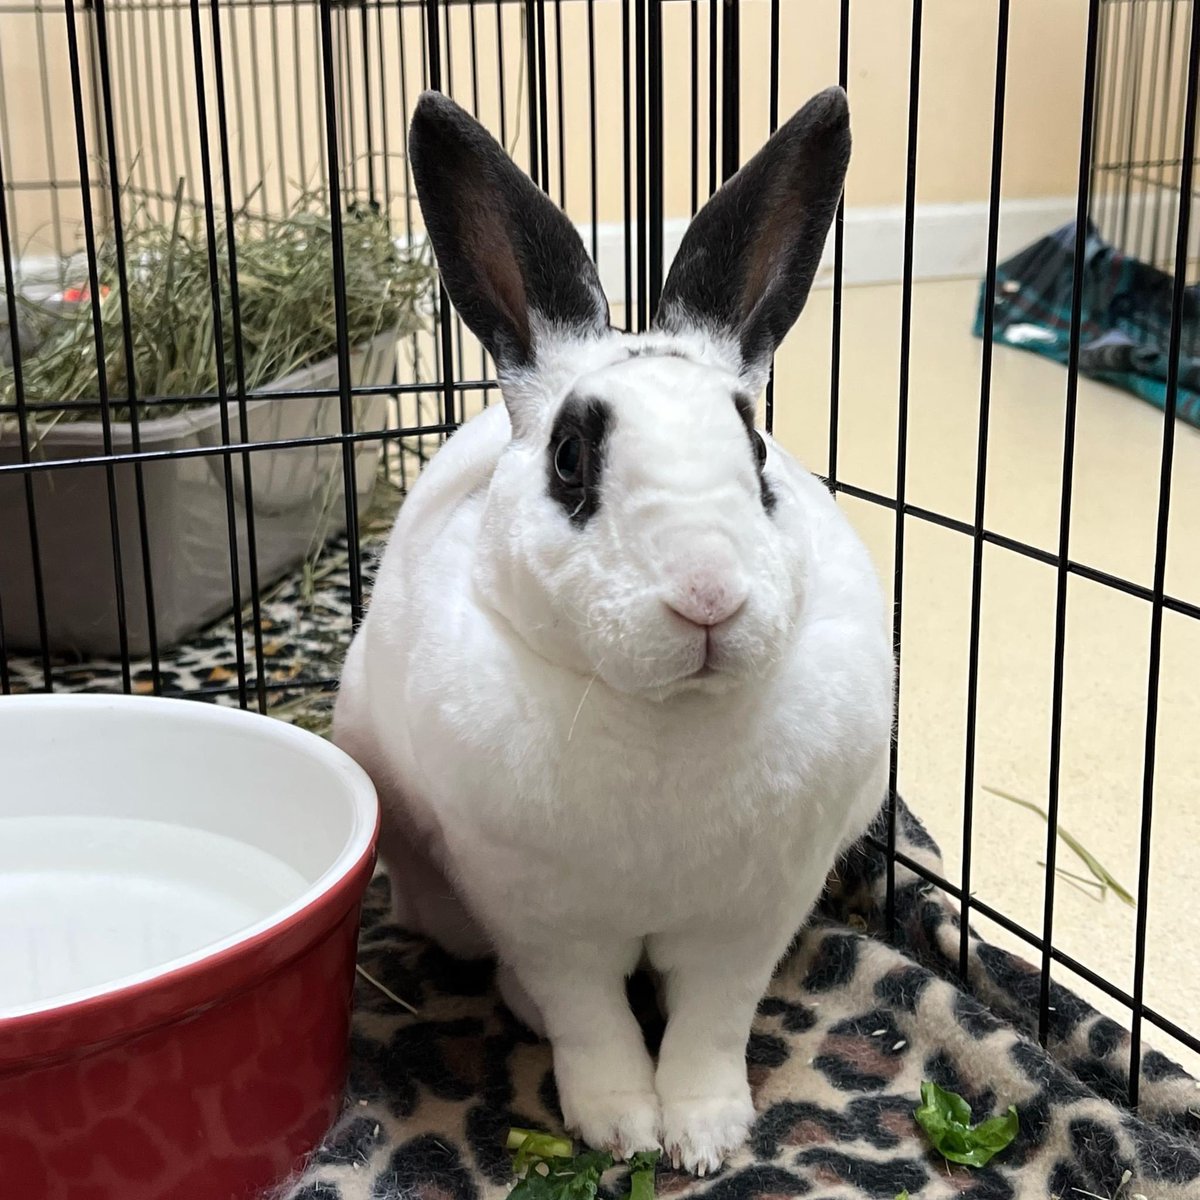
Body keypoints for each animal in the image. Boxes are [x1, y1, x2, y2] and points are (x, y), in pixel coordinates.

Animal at [333, 86, 894, 1175]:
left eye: (758, 454)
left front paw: (707, 1136)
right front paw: (622, 1127)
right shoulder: (551, 924)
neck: (663, 717)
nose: (708, 597)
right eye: (568, 462)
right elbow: (591, 1021)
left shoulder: (747, 922)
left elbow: (712, 1025)